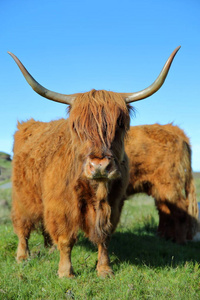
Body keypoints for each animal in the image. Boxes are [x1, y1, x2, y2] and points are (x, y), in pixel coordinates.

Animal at [8, 46, 180, 276]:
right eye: (76, 127)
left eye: (120, 124)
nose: (100, 166)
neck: (97, 190)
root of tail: (27, 125)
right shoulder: (61, 205)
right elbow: (66, 238)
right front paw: (65, 272)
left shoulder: (113, 203)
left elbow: (104, 237)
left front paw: (105, 269)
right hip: (23, 195)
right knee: (23, 225)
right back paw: (22, 256)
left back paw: (49, 248)